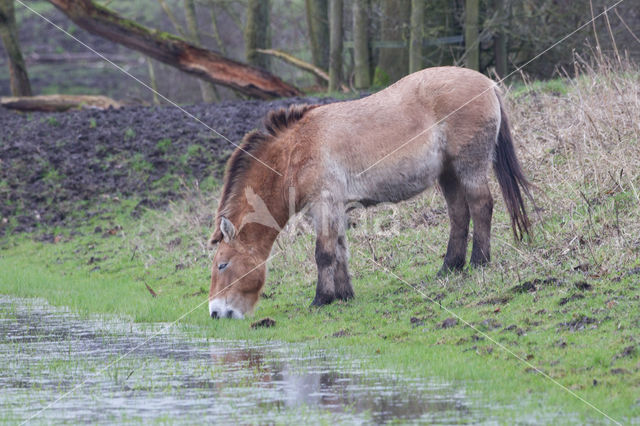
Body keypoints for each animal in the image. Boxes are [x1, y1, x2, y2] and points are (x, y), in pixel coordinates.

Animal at [208, 66, 532, 320]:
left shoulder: (324, 204)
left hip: (469, 166)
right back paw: (450, 267)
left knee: (481, 206)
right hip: (449, 174)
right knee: (459, 214)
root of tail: (487, 83)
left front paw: (321, 299)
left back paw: (479, 261)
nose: (216, 312)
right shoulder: (334, 207)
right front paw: (344, 294)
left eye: (223, 264)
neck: (296, 151)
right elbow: (339, 249)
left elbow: (323, 253)